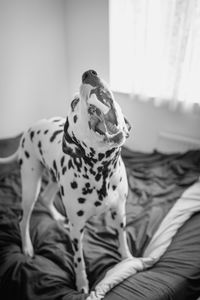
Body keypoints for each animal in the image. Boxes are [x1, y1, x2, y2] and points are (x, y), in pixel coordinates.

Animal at [1, 69, 134, 292]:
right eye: (73, 103)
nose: (89, 73)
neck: (103, 173)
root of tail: (29, 128)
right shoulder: (77, 230)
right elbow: (79, 261)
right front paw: (82, 284)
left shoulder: (119, 212)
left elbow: (122, 239)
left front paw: (128, 259)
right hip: (30, 185)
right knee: (23, 218)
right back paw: (27, 247)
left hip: (55, 181)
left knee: (46, 198)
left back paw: (57, 218)